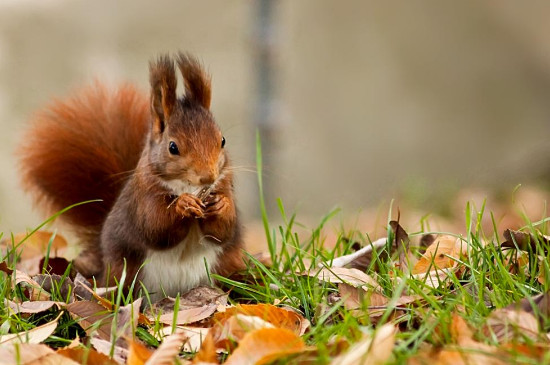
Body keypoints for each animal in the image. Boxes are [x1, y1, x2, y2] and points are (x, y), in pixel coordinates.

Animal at [20, 52, 244, 298]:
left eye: (222, 140)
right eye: (173, 147)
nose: (208, 177)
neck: (187, 186)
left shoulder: (225, 184)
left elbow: (223, 231)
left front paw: (221, 205)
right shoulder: (143, 197)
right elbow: (155, 226)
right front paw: (183, 204)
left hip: (227, 266)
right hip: (125, 273)